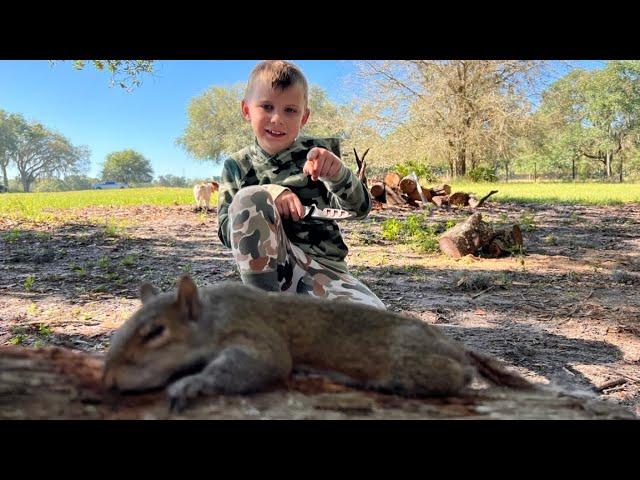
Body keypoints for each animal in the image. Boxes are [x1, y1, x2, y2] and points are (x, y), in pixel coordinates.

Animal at [105, 276, 532, 410]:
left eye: (155, 333)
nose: (109, 380)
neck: (213, 314)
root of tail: (454, 346)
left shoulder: (255, 333)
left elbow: (267, 364)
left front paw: (191, 384)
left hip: (411, 359)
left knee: (457, 377)